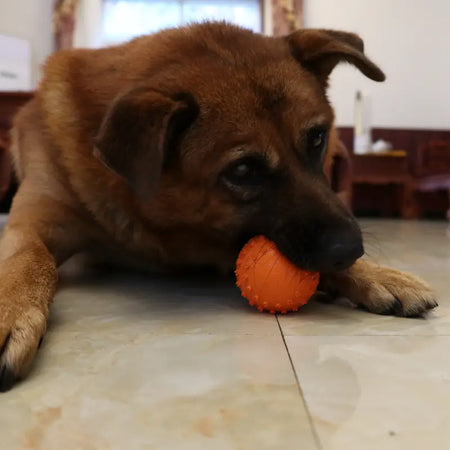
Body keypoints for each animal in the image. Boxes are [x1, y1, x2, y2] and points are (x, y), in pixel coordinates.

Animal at [0, 23, 436, 390]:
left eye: (317, 138)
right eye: (243, 170)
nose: (351, 250)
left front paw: (377, 275)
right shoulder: (33, 223)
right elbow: (31, 259)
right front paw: (10, 309)